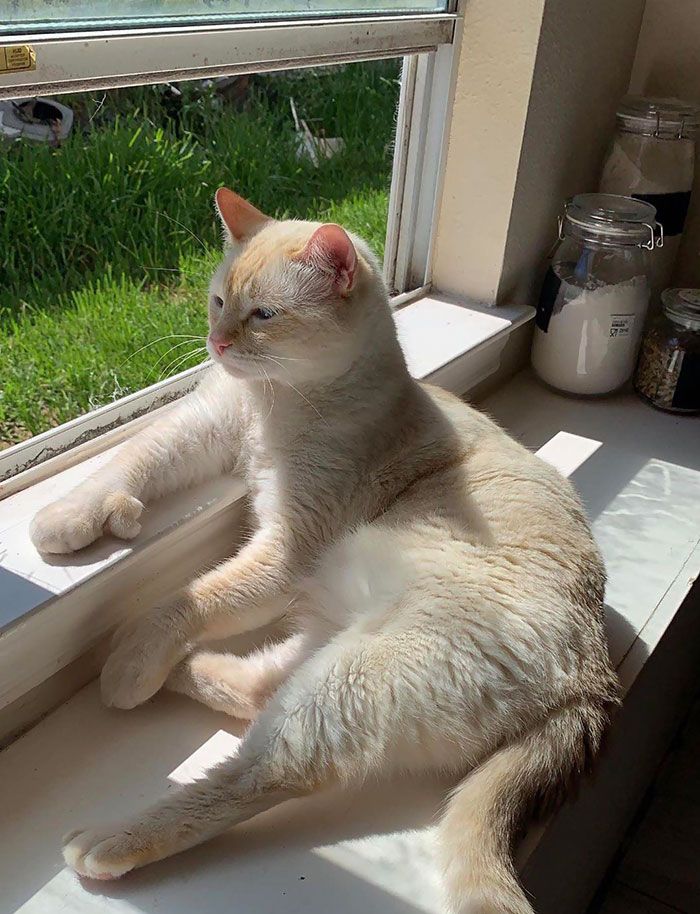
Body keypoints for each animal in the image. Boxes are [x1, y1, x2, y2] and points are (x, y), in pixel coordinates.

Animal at [30, 187, 616, 912]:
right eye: (218, 301)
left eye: (264, 315)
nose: (217, 343)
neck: (271, 405)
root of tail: (593, 677)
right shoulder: (200, 430)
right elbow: (125, 465)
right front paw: (70, 519)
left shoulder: (287, 548)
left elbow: (185, 600)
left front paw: (132, 663)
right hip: (333, 640)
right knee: (258, 689)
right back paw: (184, 670)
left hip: (354, 678)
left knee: (262, 770)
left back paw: (111, 830)